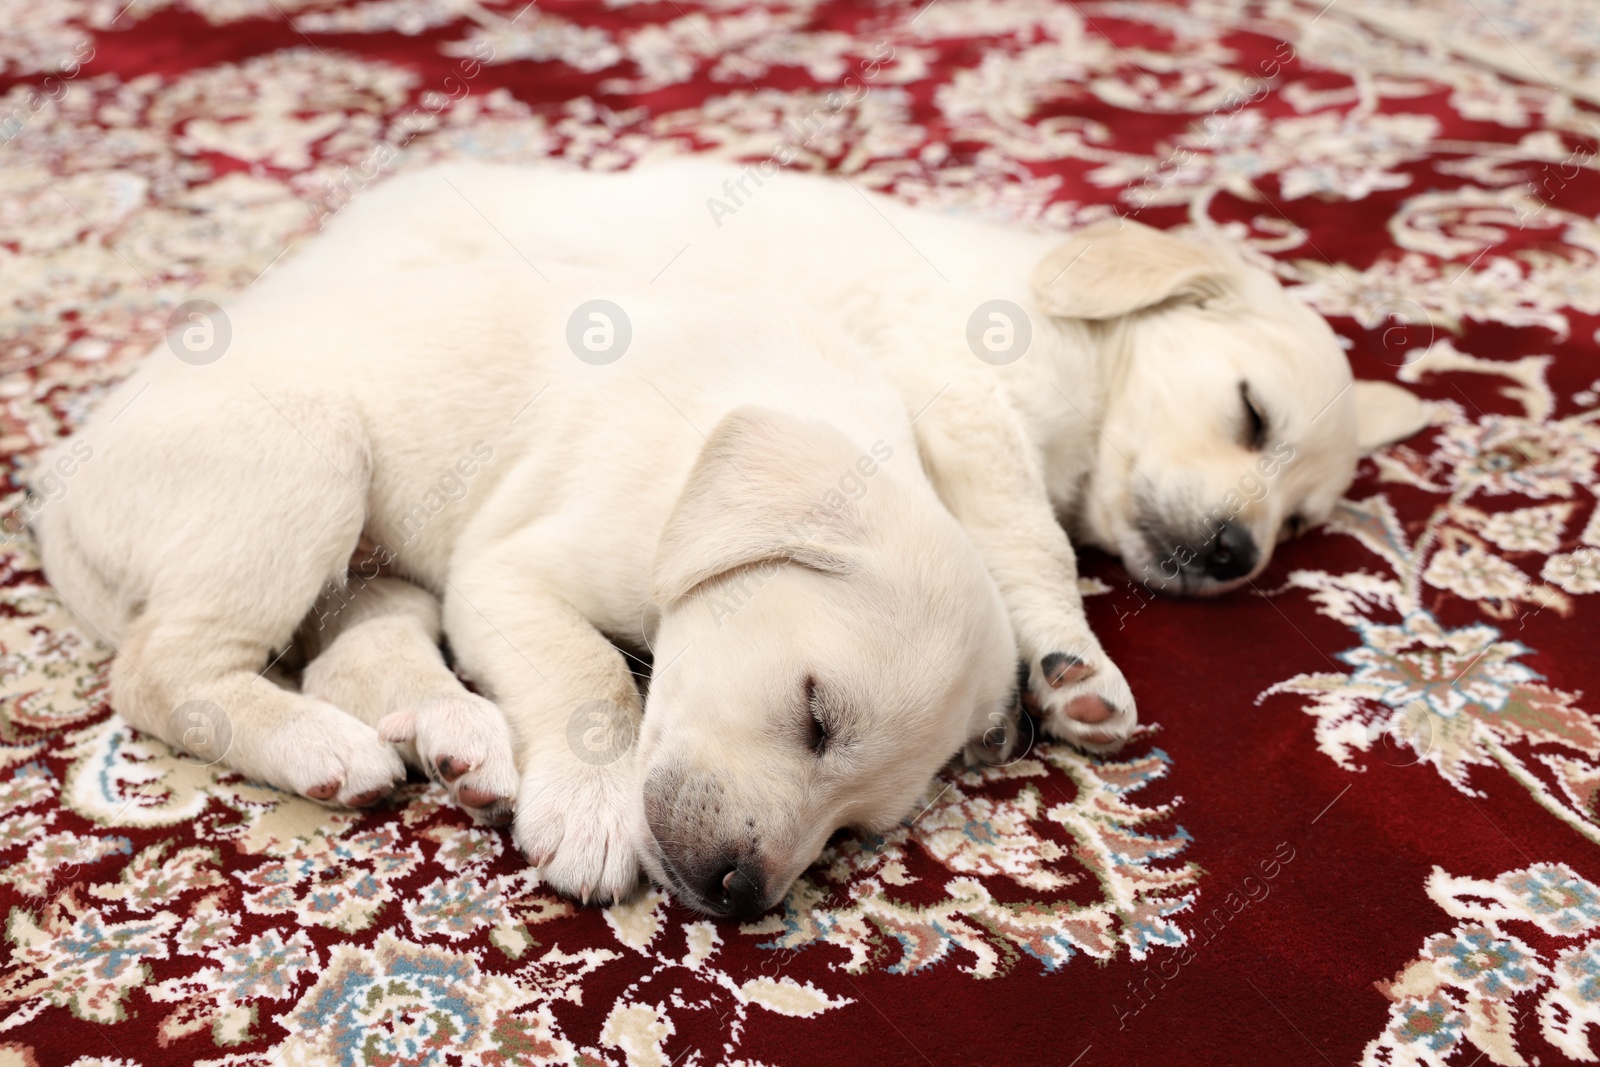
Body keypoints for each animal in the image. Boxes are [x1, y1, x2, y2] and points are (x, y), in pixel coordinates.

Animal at [28, 260, 1011, 921]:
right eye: (817, 714)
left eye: (854, 830)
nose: (742, 892)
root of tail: (57, 496)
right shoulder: (509, 570)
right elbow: (592, 671)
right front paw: (591, 806)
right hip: (310, 453)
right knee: (162, 671)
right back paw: (322, 745)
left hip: (374, 569)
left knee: (349, 653)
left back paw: (455, 734)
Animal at [284, 158, 1427, 755]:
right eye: (1251, 414)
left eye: (1302, 523)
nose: (1239, 554)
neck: (1085, 355)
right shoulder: (963, 404)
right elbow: (1034, 547)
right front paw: (1074, 667)